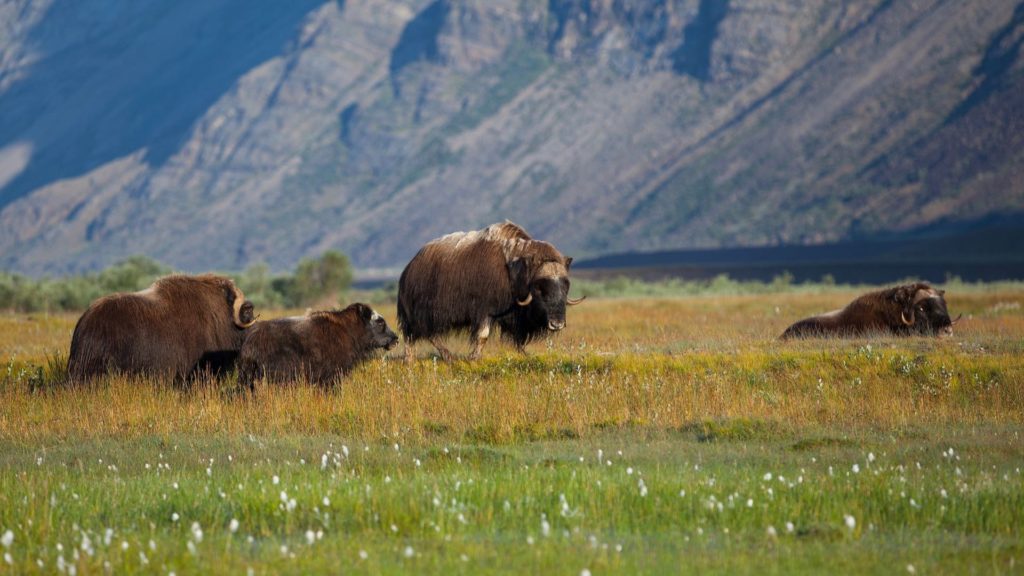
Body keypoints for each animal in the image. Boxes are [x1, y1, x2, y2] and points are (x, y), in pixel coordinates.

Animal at [395, 219, 581, 358]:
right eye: (539, 288)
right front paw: (474, 357)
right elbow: (482, 336)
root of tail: (409, 268)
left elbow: (516, 339)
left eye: (566, 285)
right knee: (416, 335)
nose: (557, 324)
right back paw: (415, 359)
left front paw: (523, 355)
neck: (514, 270)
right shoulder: (485, 309)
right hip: (419, 314)